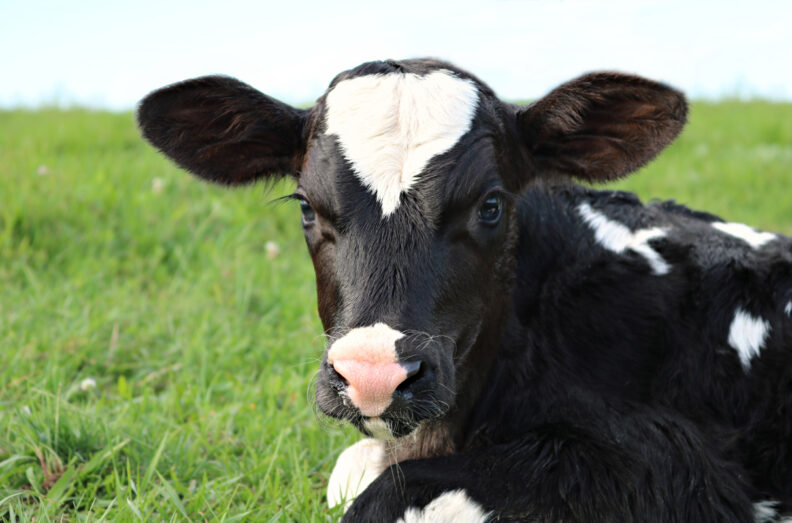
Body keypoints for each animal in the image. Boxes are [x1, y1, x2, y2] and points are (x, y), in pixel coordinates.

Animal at [137, 58, 792, 522]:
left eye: (492, 205)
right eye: (305, 205)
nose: (375, 374)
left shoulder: (675, 463)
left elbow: (388, 496)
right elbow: (350, 472)